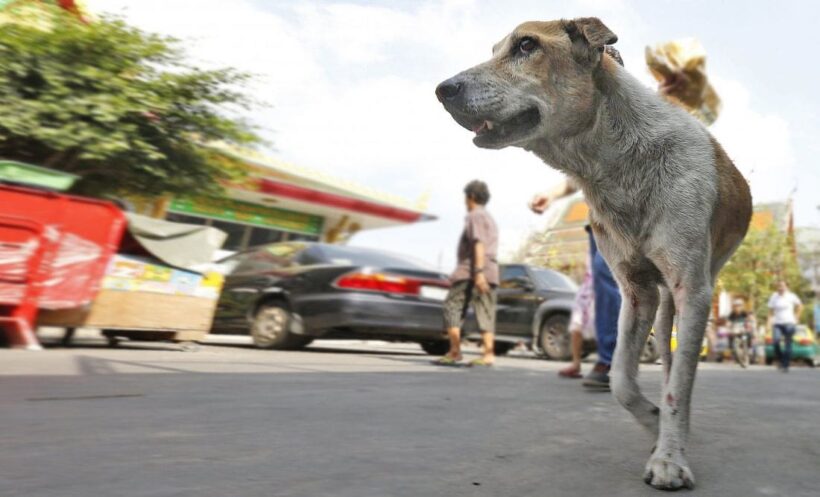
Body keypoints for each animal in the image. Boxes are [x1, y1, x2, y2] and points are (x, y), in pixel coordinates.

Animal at [436, 18, 748, 488]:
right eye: (494, 50)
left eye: (526, 45)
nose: (443, 89)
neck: (615, 162)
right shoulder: (636, 292)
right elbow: (621, 378)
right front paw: (656, 427)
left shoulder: (691, 288)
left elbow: (677, 384)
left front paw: (670, 458)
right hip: (661, 304)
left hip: (691, 290)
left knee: (677, 366)